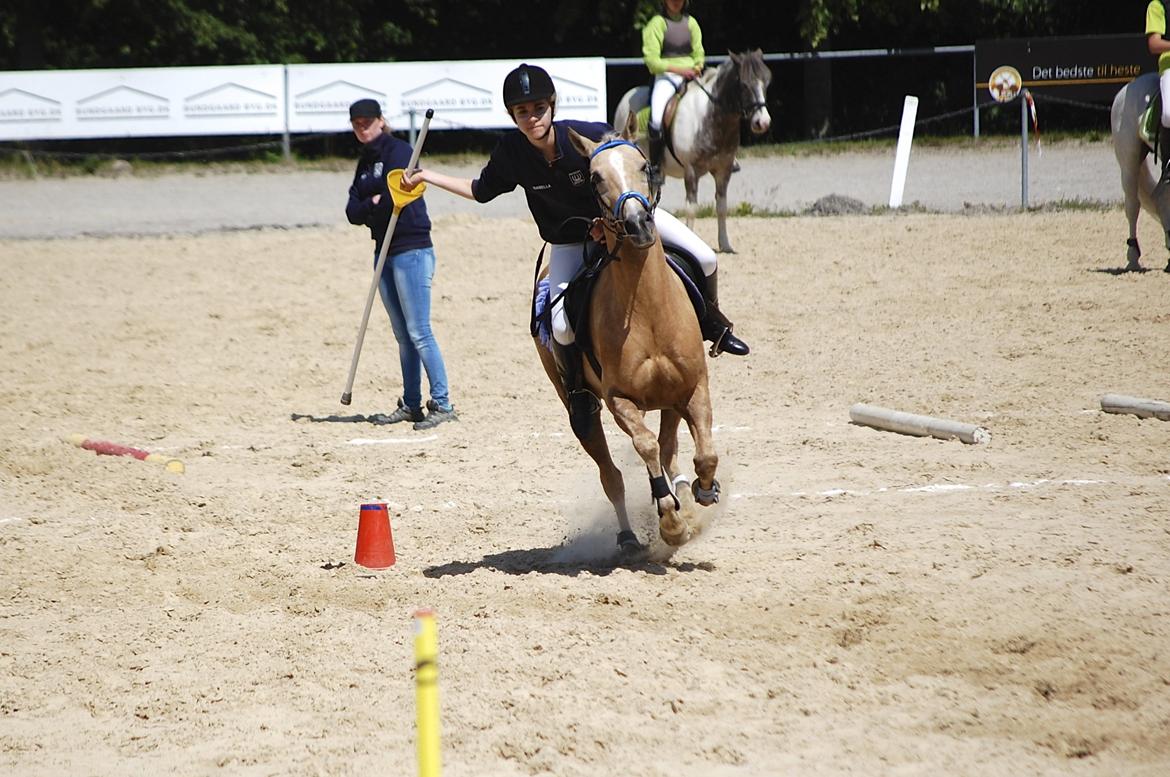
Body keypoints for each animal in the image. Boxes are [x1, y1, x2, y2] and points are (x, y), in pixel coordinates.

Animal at [535, 114, 716, 552]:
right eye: (595, 178)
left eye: (645, 166)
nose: (638, 225)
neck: (648, 309)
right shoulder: (620, 400)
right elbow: (645, 446)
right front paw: (670, 522)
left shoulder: (692, 387)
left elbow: (702, 454)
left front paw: (701, 491)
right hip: (581, 409)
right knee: (612, 475)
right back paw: (631, 535)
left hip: (670, 399)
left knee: (669, 451)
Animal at [613, 48, 776, 253]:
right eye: (744, 84)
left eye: (767, 82)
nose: (762, 122)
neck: (711, 120)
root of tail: (626, 97)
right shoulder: (691, 172)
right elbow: (691, 209)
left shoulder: (723, 171)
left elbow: (721, 207)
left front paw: (725, 244)